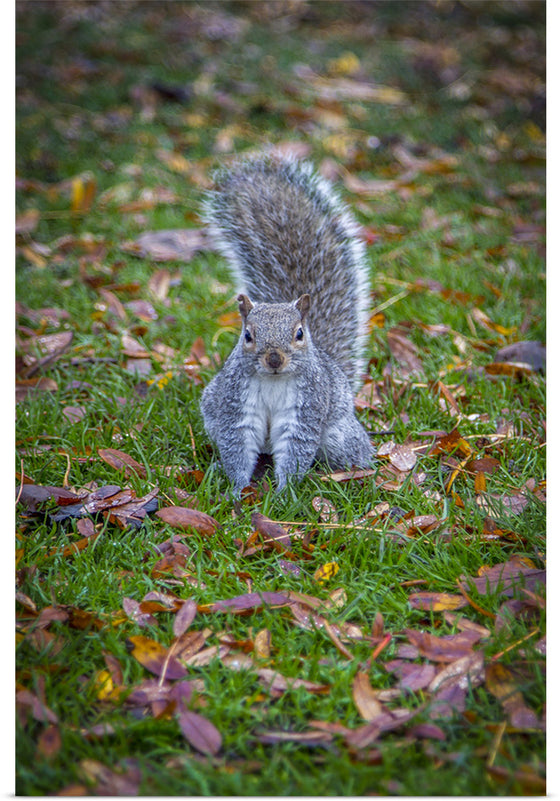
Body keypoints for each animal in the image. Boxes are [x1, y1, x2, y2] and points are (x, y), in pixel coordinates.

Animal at [199, 155, 374, 494]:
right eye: (248, 335)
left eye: (299, 334)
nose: (274, 359)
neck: (274, 381)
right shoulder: (234, 405)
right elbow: (236, 445)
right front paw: (236, 489)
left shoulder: (306, 408)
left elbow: (296, 448)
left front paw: (284, 492)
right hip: (211, 416)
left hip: (338, 434)